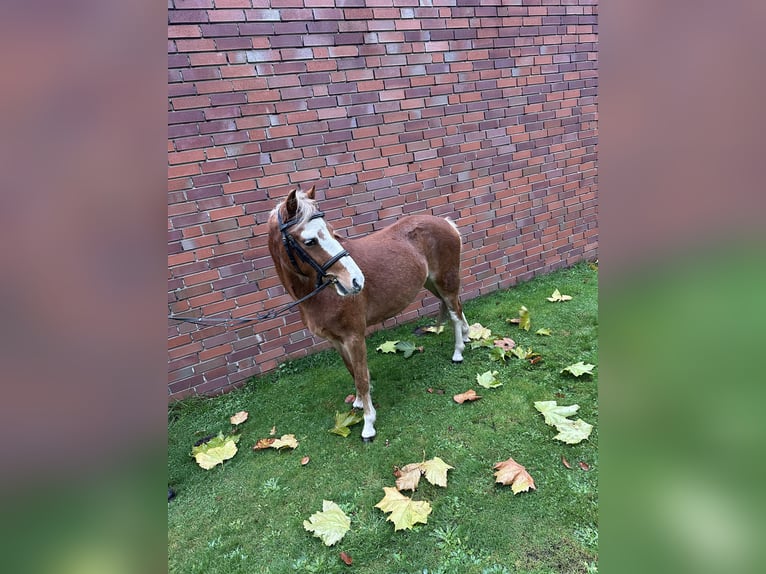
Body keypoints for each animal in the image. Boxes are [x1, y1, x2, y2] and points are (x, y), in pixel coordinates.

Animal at [270, 188, 474, 440]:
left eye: (332, 231)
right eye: (309, 241)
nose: (356, 281)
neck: (321, 293)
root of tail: (446, 223)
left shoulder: (354, 337)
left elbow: (362, 378)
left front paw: (368, 424)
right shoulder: (336, 341)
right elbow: (353, 372)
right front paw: (358, 402)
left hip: (446, 282)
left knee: (454, 314)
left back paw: (458, 352)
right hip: (432, 284)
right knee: (458, 307)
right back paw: (467, 335)